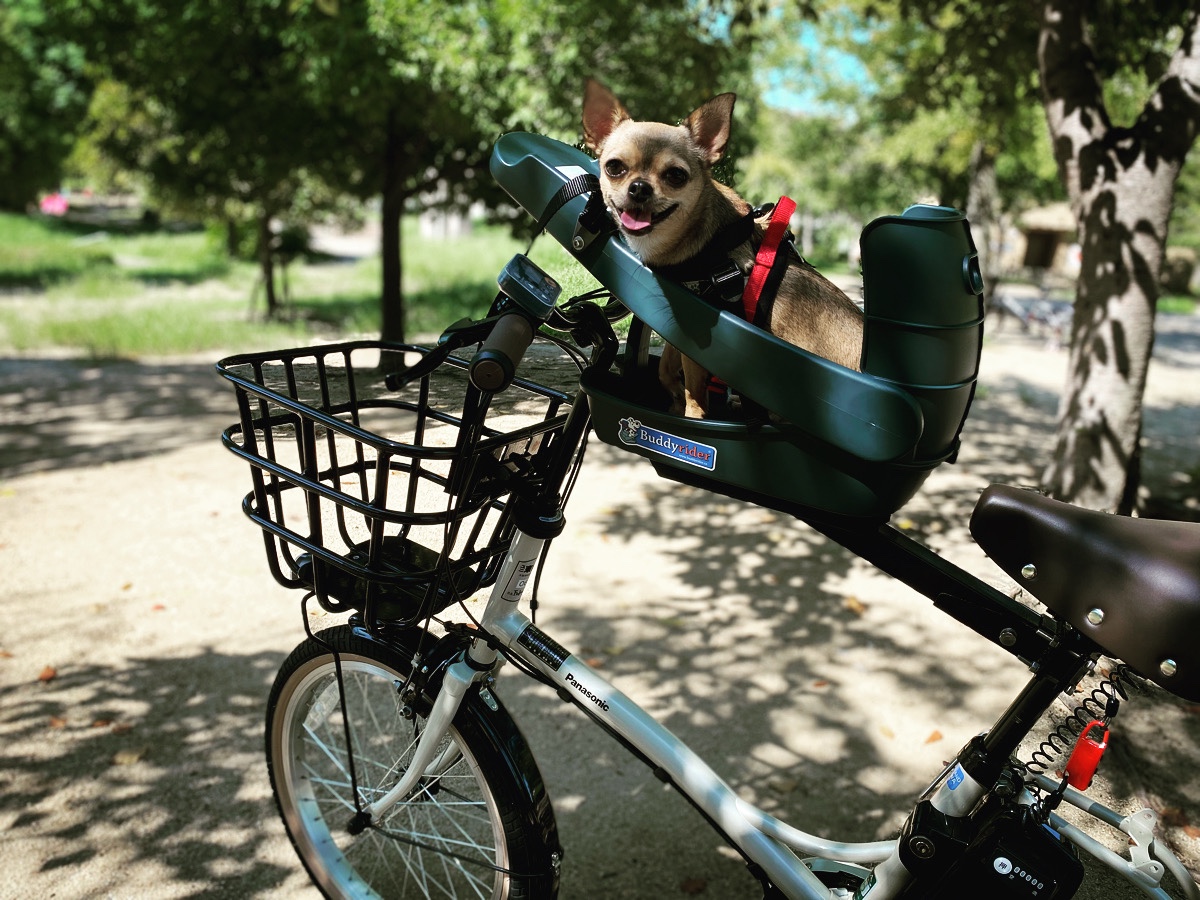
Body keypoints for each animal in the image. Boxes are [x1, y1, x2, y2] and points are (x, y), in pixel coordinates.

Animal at [580, 79, 864, 417]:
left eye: (676, 175)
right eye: (614, 167)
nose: (639, 187)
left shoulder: (696, 331)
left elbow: (692, 388)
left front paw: (691, 411)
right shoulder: (680, 325)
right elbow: (666, 365)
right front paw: (674, 397)